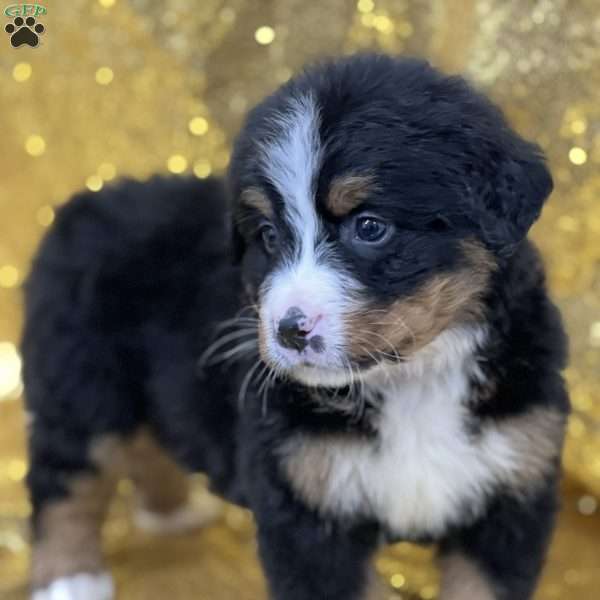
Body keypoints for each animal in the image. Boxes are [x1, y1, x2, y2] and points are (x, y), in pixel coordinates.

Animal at [22, 52, 568, 600]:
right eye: (267, 235)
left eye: (369, 227)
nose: (288, 331)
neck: (411, 381)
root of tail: (82, 204)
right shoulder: (304, 502)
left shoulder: (513, 487)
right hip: (82, 382)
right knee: (65, 475)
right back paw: (70, 577)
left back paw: (173, 512)